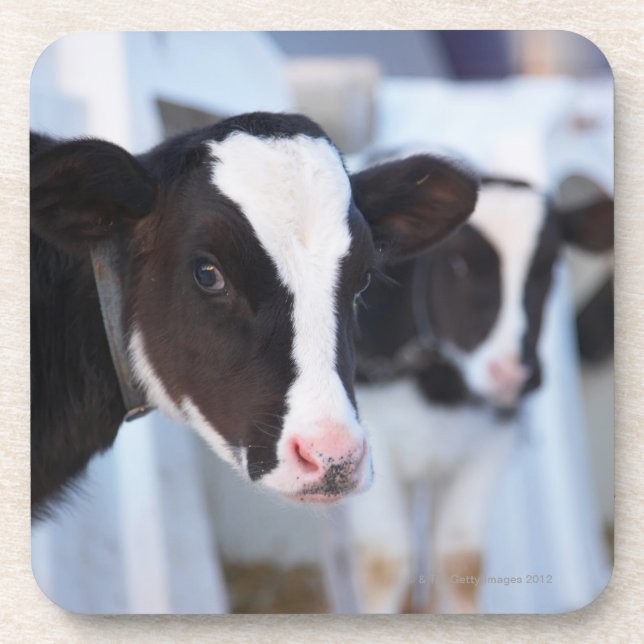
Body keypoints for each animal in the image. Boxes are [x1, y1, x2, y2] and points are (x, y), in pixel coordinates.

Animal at [344, 165, 614, 613]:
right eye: (457, 263)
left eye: (550, 265)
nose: (512, 373)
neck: (440, 386)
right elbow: (386, 562)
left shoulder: (494, 439)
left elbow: (459, 562)